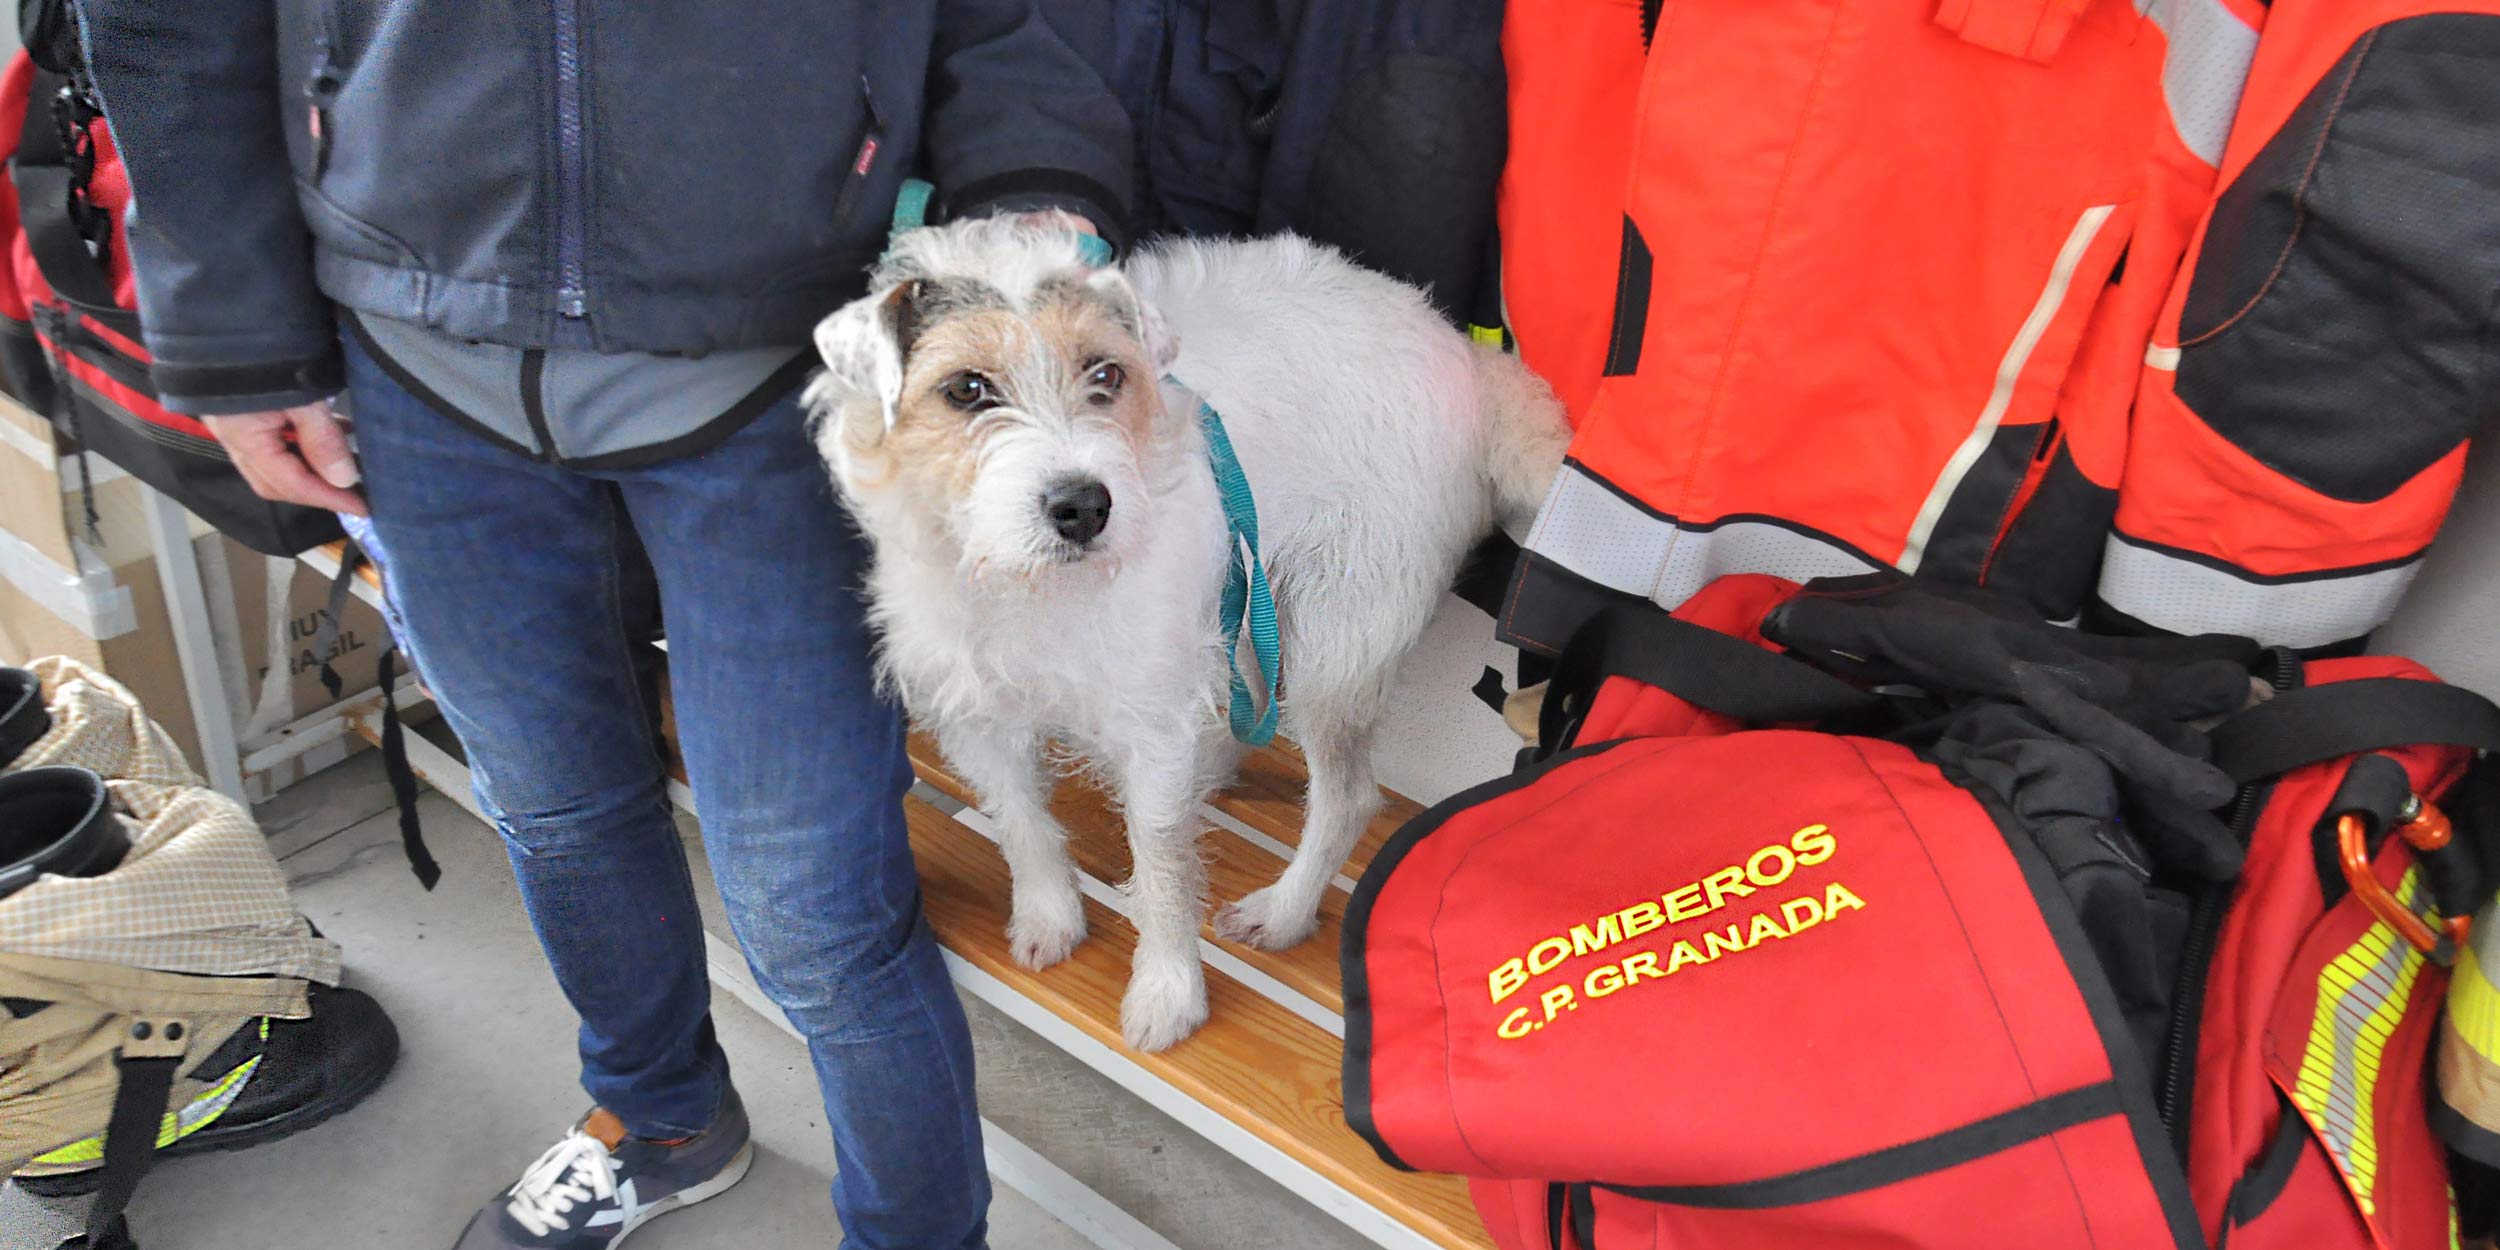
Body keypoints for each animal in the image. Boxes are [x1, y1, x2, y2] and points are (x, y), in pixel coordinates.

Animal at [810, 220, 1570, 1050]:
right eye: (966, 390)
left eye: (1105, 374)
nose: (1084, 508)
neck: (1031, 587)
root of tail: (1462, 352)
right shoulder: (976, 714)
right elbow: (1022, 823)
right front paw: (1050, 916)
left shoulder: (1149, 724)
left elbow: (1167, 863)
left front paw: (1169, 992)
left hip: (1331, 644)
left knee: (1346, 798)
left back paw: (1286, 910)